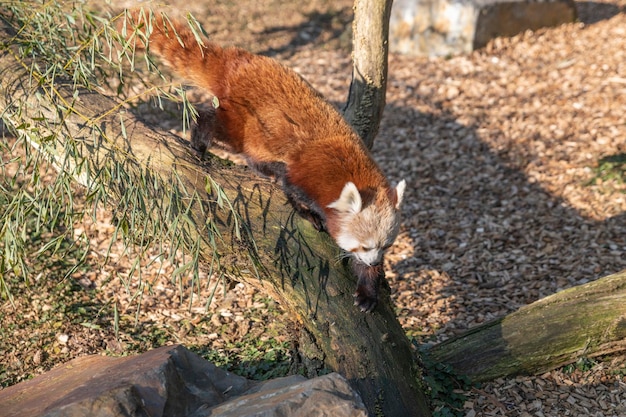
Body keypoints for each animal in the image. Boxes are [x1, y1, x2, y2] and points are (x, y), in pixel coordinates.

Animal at [123, 9, 404, 310]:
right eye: (364, 245)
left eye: (384, 246)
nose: (374, 260)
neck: (353, 171)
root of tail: (239, 59)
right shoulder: (307, 173)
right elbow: (291, 188)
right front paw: (309, 214)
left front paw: (368, 289)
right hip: (241, 119)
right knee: (214, 123)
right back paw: (199, 144)